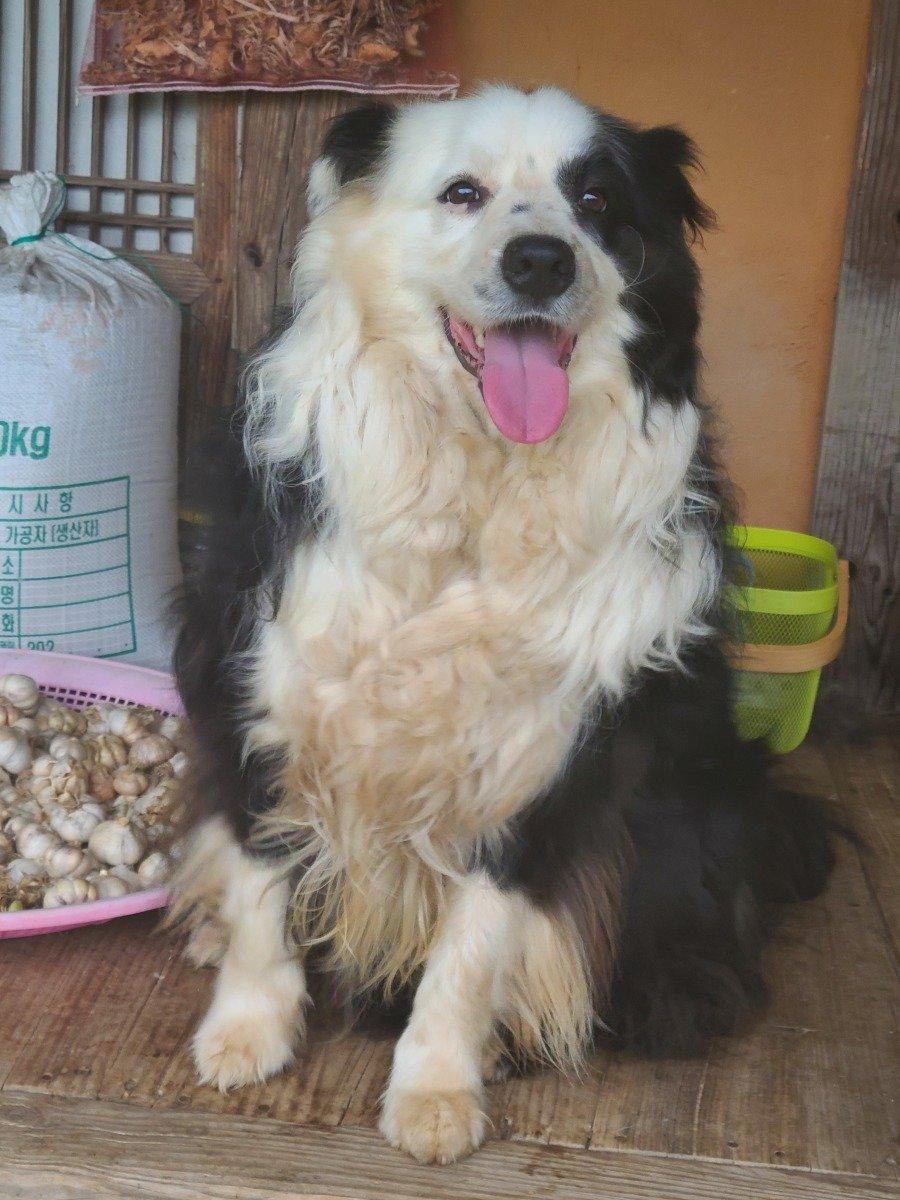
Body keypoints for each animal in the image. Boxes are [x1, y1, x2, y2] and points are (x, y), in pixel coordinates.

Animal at [172, 88, 835, 1166]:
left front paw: (437, 1091)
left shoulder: (546, 751)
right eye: (462, 193)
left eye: (598, 201)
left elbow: (474, 944)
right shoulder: (259, 679)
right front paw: (245, 1032)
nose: (541, 262)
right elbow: (264, 875)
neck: (475, 481)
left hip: (687, 811)